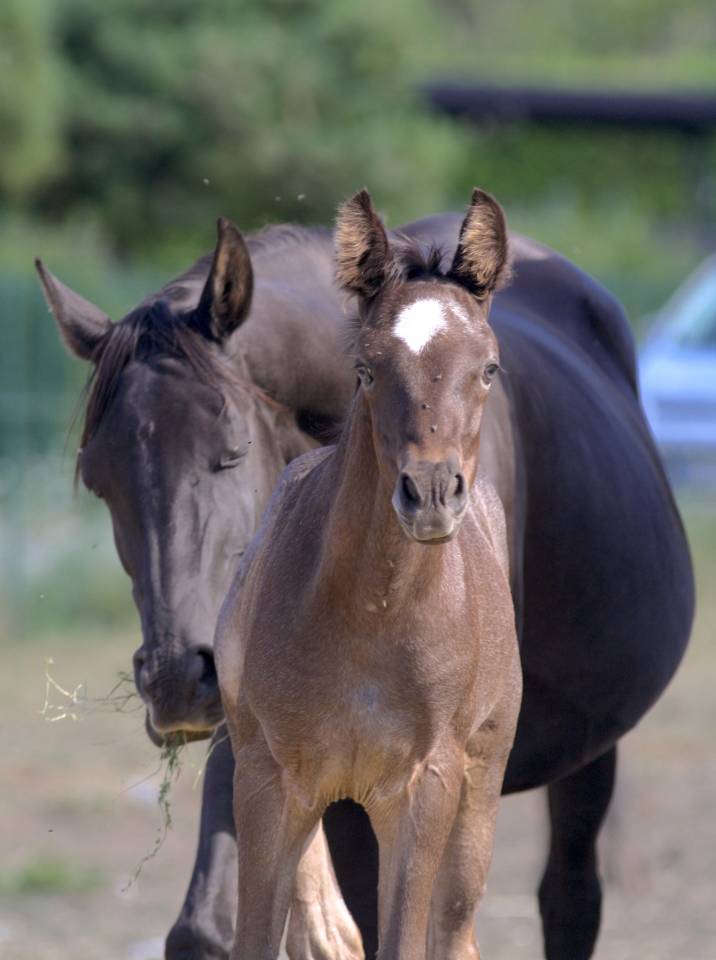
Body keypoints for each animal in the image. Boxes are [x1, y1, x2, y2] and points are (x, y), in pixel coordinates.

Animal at [38, 191, 694, 960]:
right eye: (97, 480)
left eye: (231, 452)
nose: (173, 682)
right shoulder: (263, 746)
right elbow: (217, 926)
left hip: (578, 755)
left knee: (565, 898)